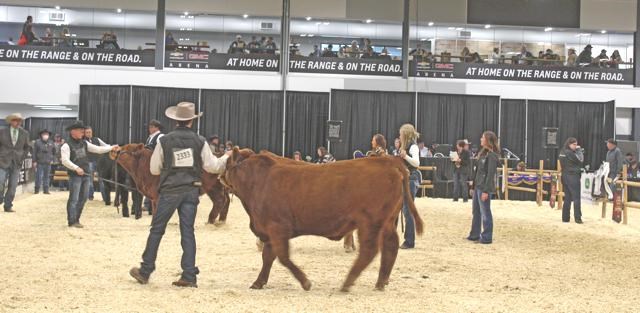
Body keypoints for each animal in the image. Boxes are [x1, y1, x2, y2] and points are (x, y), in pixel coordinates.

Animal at [221, 148, 424, 290]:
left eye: (228, 163)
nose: (221, 176)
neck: (259, 180)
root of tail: (387, 161)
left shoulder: (277, 228)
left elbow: (283, 257)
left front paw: (305, 282)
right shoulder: (270, 231)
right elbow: (268, 257)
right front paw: (259, 282)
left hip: (371, 223)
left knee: (369, 250)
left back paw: (347, 282)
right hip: (387, 222)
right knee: (390, 246)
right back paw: (381, 281)